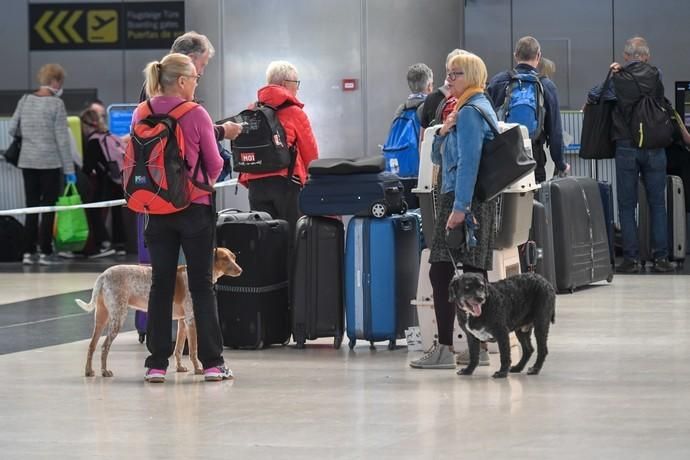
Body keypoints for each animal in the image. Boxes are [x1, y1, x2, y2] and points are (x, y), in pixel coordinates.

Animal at [75, 248, 241, 378]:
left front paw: (179, 368)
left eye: (233, 257)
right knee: (104, 347)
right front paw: (198, 369)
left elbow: (178, 349)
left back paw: (89, 371)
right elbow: (193, 350)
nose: (241, 270)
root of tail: (104, 275)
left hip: (101, 318)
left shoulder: (182, 322)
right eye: (225, 258)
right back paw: (104, 371)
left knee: (92, 345)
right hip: (118, 317)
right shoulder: (191, 321)